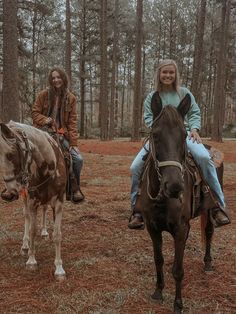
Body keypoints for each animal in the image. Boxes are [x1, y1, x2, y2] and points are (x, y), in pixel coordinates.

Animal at [0, 121, 66, 280]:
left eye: (10, 154)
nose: (8, 194)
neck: (47, 168)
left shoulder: (59, 203)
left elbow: (57, 234)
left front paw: (59, 268)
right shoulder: (32, 202)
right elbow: (31, 230)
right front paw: (31, 260)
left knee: (45, 209)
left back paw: (44, 232)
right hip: (25, 197)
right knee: (27, 217)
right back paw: (25, 246)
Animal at [134, 94, 222, 314]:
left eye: (184, 135)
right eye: (155, 135)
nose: (174, 186)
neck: (162, 198)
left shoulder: (181, 229)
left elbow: (178, 269)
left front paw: (178, 303)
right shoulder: (153, 229)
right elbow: (159, 260)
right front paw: (158, 292)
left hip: (209, 209)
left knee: (209, 232)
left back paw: (208, 263)